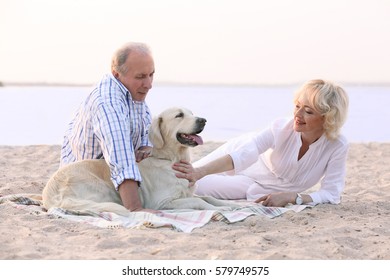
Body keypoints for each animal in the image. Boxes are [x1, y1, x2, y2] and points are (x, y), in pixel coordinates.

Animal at [42, 107, 238, 217]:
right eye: (179, 115)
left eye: (192, 113)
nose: (203, 120)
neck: (170, 159)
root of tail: (49, 194)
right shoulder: (162, 202)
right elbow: (200, 202)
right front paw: (220, 210)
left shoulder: (187, 194)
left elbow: (208, 197)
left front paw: (232, 205)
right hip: (103, 187)